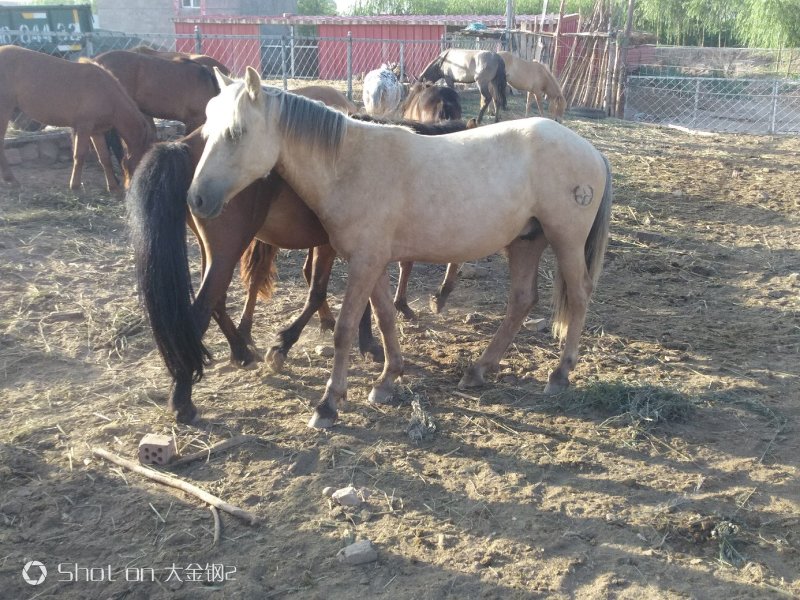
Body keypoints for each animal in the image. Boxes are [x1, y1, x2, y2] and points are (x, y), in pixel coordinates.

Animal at [0, 45, 154, 192]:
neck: (107, 93)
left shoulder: (97, 131)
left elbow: (104, 158)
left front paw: (112, 186)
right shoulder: (84, 127)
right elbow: (79, 155)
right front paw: (75, 185)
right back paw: (11, 179)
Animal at [128, 86, 471, 424]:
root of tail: (182, 145)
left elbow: (331, 293)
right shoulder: (342, 246)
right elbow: (323, 292)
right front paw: (295, 344)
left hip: (215, 251)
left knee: (217, 302)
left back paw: (241, 352)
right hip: (227, 250)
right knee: (200, 309)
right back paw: (183, 397)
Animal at [188, 68, 614, 429]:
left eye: (236, 132)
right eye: (207, 129)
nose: (196, 199)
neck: (350, 163)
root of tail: (592, 151)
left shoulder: (364, 263)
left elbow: (345, 329)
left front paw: (329, 403)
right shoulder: (373, 262)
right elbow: (385, 318)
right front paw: (387, 379)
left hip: (566, 241)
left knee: (579, 296)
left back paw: (559, 374)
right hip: (525, 242)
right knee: (522, 301)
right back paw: (479, 369)